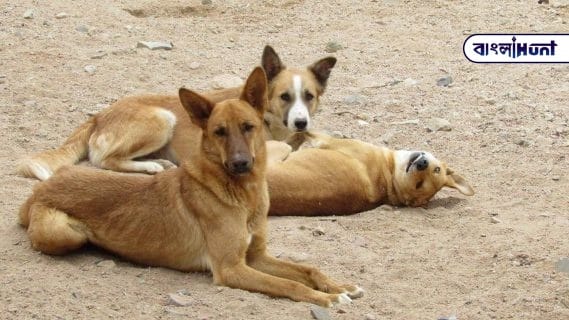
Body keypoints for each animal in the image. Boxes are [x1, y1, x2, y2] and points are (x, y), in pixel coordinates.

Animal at [18, 45, 338, 180]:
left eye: (309, 96)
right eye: (285, 97)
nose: (301, 122)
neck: (269, 119)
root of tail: (100, 115)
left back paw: (157, 162)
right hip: (162, 119)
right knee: (104, 160)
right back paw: (150, 167)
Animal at [21, 69, 364, 308]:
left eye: (249, 127)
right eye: (219, 132)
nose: (240, 164)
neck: (243, 195)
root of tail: (36, 193)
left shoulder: (256, 257)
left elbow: (308, 269)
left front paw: (339, 286)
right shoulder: (231, 269)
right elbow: (290, 285)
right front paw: (325, 298)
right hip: (65, 232)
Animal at [266, 131, 474, 216]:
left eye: (419, 185)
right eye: (436, 169)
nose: (423, 163)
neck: (388, 177)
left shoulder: (326, 140)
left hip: (278, 148)